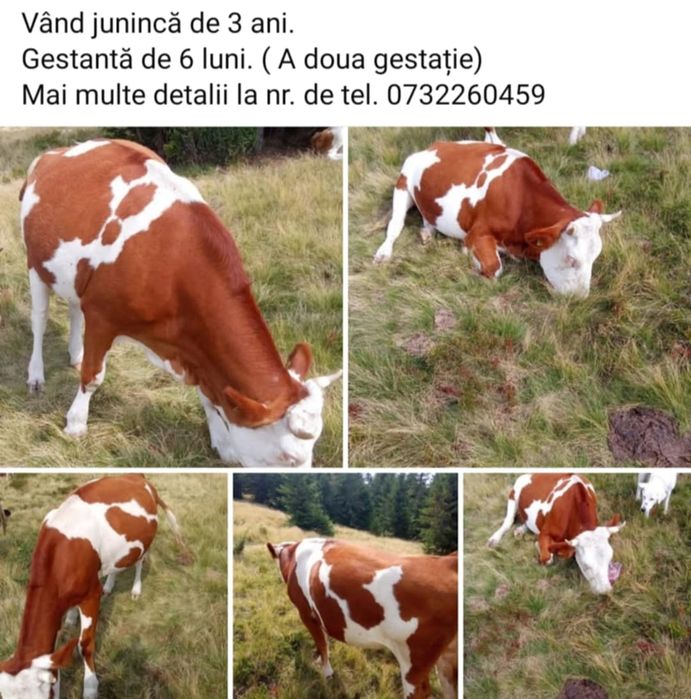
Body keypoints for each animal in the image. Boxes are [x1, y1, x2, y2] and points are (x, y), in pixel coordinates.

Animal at [0, 474, 189, 699]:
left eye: (48, 695)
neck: (60, 554)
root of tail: (137, 476)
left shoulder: (91, 596)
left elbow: (85, 645)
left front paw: (90, 687)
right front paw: (71, 618)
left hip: (143, 543)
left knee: (140, 563)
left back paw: (135, 589)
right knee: (117, 565)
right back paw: (109, 585)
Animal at [20, 139, 341, 467]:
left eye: (315, 445)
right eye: (289, 456)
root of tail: (55, 152)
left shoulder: (195, 346)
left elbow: (209, 396)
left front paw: (223, 442)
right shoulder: (102, 315)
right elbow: (94, 376)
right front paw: (75, 423)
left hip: (70, 276)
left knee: (73, 307)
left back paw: (75, 354)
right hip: (35, 263)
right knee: (39, 319)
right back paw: (36, 375)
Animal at [267, 538, 458, 699]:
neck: (293, 555)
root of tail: (448, 561)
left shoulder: (306, 613)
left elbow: (322, 644)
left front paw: (327, 673)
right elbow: (323, 641)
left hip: (414, 660)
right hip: (446, 659)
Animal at [373, 140, 621, 296]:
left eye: (595, 257)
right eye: (571, 259)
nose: (580, 299)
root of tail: (433, 146)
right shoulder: (476, 233)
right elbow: (495, 268)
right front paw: (475, 267)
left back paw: (426, 233)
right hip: (402, 183)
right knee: (395, 225)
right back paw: (383, 253)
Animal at [487, 474, 625, 594]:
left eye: (609, 559)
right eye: (586, 565)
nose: (605, 591)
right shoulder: (545, 533)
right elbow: (547, 557)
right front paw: (541, 547)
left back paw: (520, 530)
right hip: (512, 495)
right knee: (508, 521)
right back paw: (494, 540)